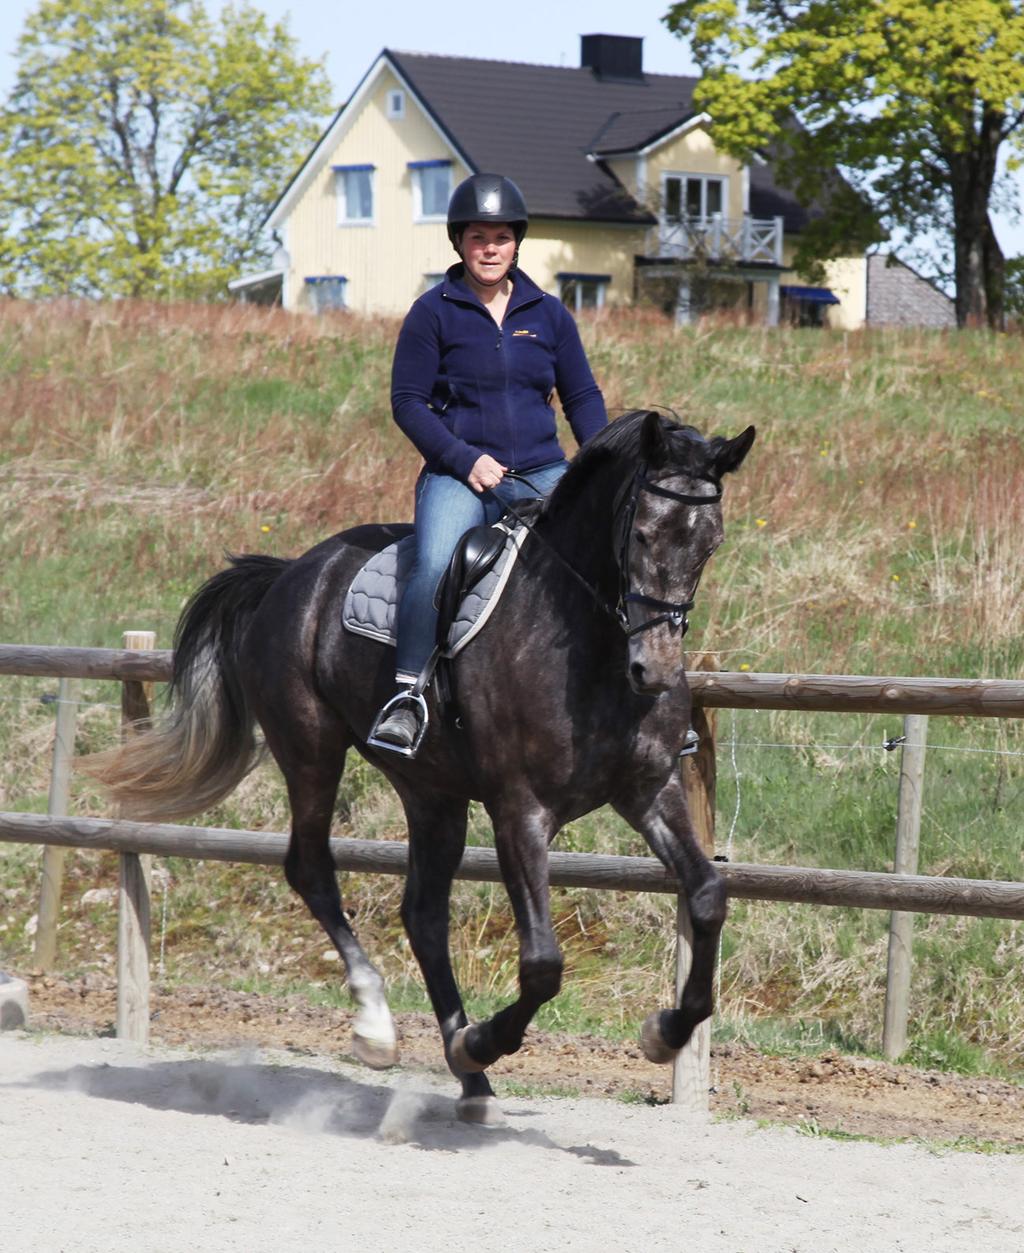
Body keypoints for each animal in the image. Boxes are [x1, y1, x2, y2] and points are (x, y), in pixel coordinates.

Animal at [87, 410, 757, 1127]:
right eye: (641, 533)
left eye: (710, 544)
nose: (653, 671)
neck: (588, 645)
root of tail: (293, 572)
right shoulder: (519, 809)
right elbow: (543, 963)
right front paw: (483, 1040)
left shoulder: (649, 790)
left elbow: (707, 896)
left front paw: (664, 1031)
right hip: (312, 751)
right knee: (312, 869)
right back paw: (384, 1028)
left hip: (431, 791)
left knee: (423, 915)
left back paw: (472, 1081)